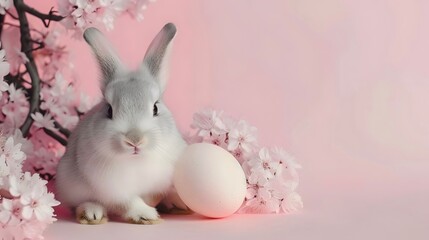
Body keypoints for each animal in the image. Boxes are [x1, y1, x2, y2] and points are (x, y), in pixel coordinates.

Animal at [55, 23, 187, 224]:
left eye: (155, 108)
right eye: (109, 110)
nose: (135, 140)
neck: (136, 161)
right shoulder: (112, 190)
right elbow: (128, 202)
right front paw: (147, 215)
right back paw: (92, 213)